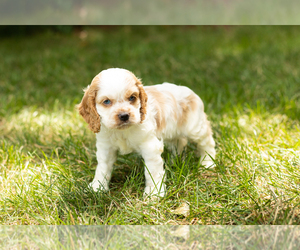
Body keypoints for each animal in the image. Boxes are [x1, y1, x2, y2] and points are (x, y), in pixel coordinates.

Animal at [76, 68, 214, 197]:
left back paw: (208, 162)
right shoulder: (106, 147)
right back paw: (175, 161)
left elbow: (152, 172)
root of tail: (189, 91)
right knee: (180, 142)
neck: (123, 131)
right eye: (106, 101)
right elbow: (103, 167)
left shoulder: (150, 147)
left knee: (207, 142)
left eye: (132, 97)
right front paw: (97, 188)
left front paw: (154, 193)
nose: (124, 116)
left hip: (195, 127)